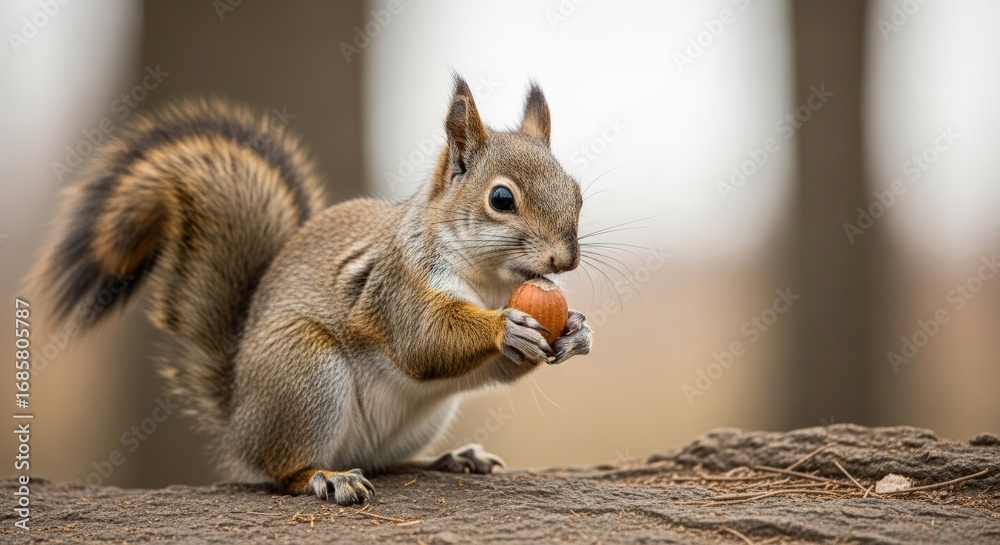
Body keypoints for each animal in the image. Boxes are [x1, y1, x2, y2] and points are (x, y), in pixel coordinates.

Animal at [31, 75, 593, 505]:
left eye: (577, 191)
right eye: (501, 199)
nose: (565, 260)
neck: (490, 282)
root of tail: (238, 418)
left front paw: (576, 333)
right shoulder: (394, 287)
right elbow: (423, 341)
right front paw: (506, 329)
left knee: (385, 461)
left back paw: (449, 458)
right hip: (303, 368)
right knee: (283, 470)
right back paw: (324, 476)